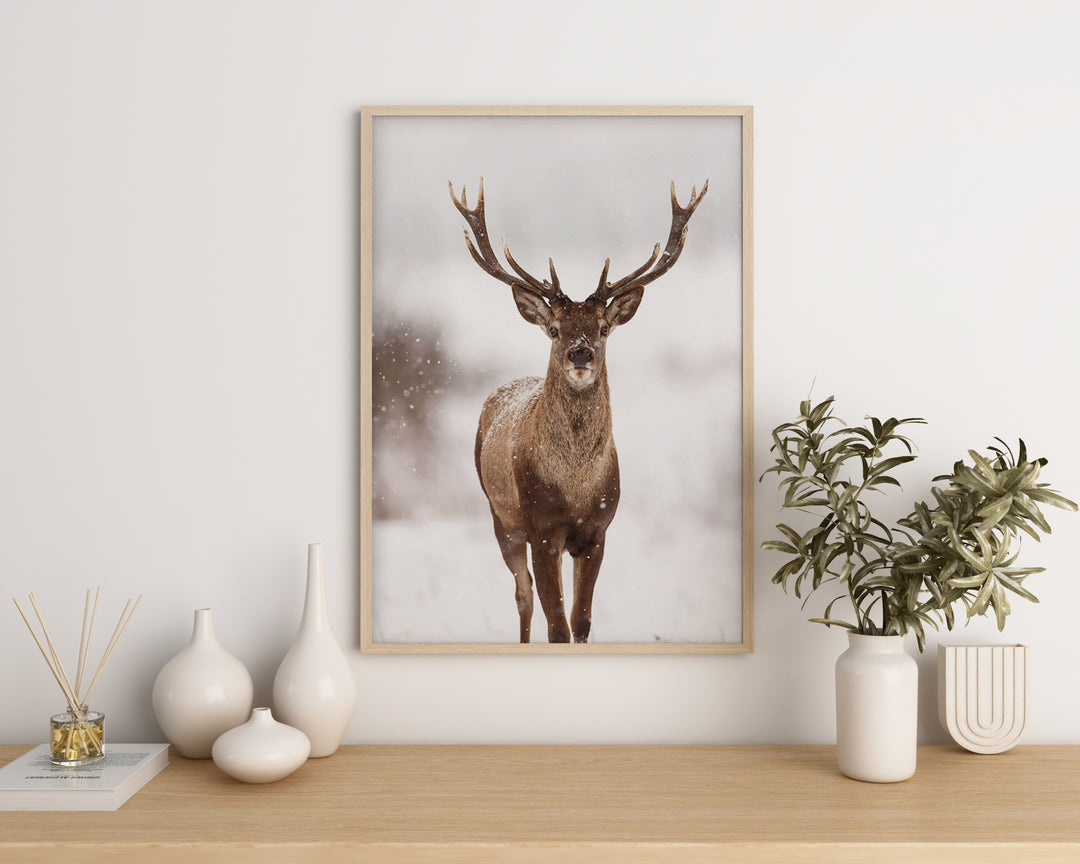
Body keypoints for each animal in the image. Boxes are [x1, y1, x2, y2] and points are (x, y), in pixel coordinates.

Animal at [449, 178, 708, 643]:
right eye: (554, 330)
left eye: (603, 328)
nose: (580, 352)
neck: (575, 487)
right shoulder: (542, 529)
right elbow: (557, 626)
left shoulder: (597, 531)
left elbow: (581, 621)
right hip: (500, 516)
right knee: (522, 595)